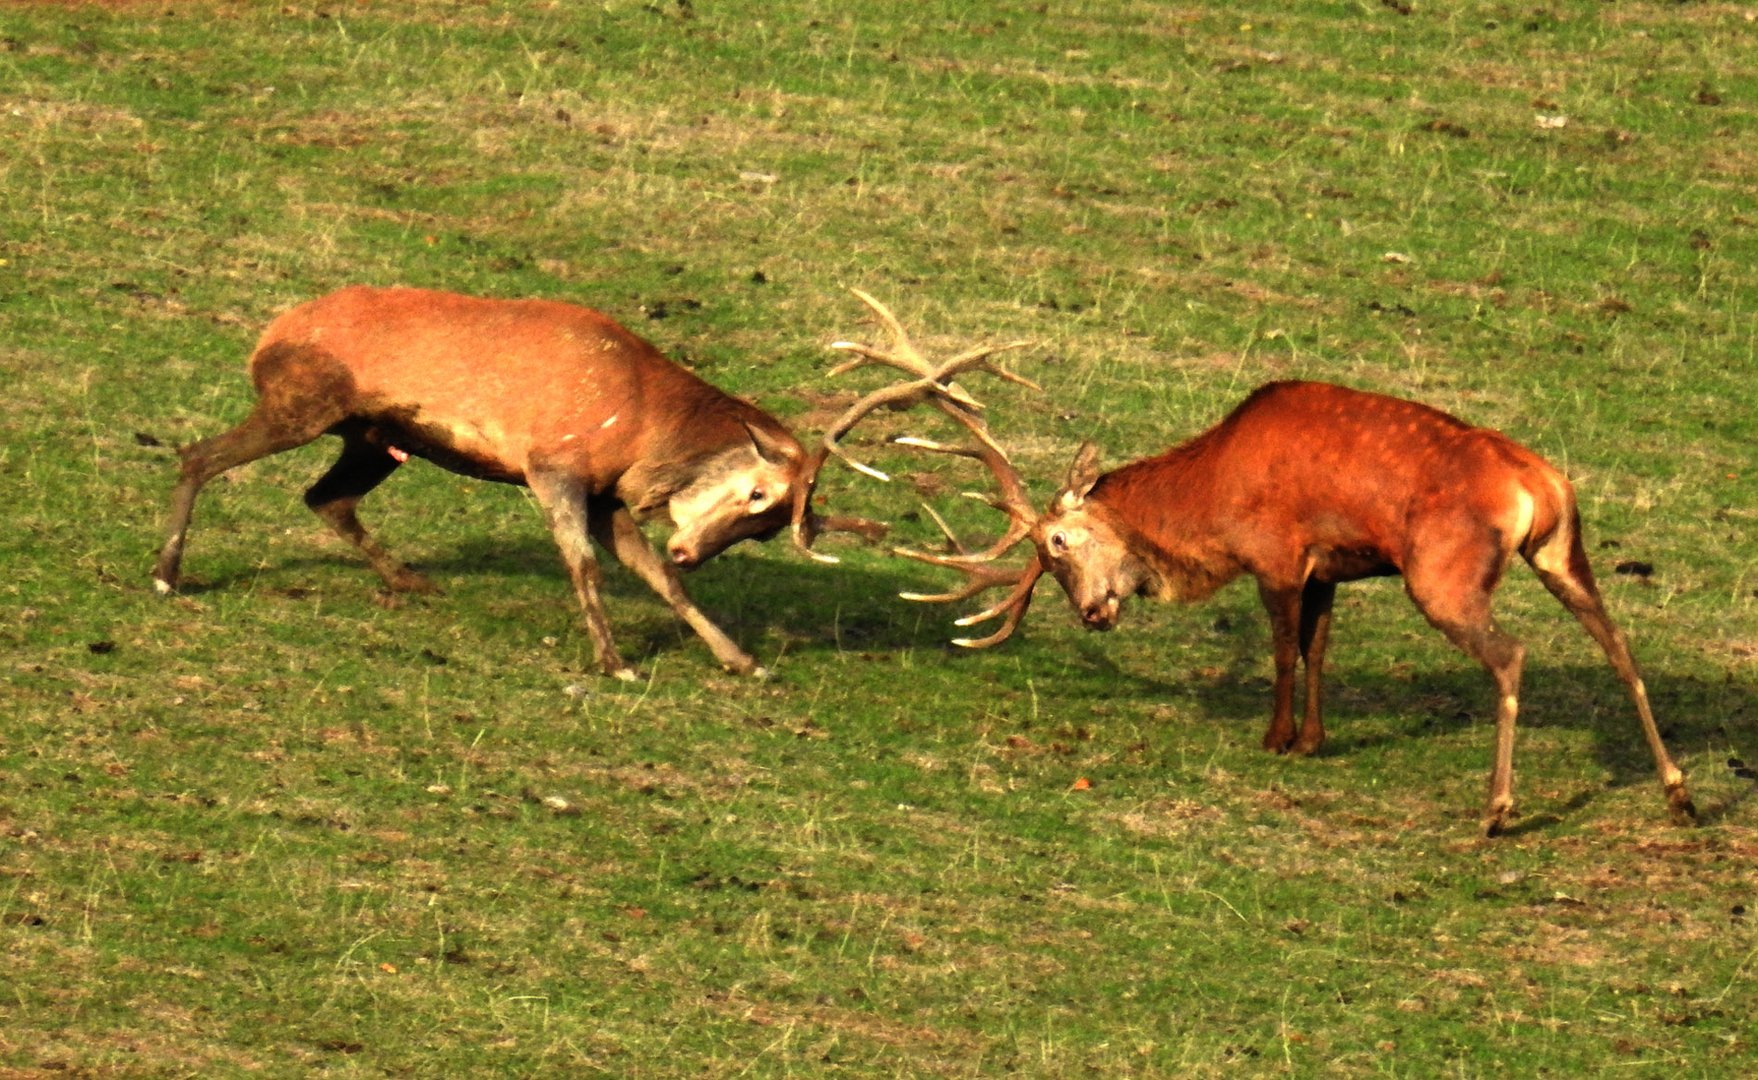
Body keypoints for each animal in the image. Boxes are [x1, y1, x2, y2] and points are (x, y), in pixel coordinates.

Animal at [149, 283, 935, 682]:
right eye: (759, 495)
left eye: (766, 526)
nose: (691, 550)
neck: (641, 425)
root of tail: (267, 336)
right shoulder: (554, 464)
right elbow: (582, 564)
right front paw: (613, 661)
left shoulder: (607, 494)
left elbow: (655, 578)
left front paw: (741, 658)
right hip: (302, 403)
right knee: (198, 455)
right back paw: (166, 573)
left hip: (376, 440)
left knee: (324, 496)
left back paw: (412, 580)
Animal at [843, 295, 1694, 837]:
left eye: (1056, 545)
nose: (1091, 613)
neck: (1213, 498)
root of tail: (1539, 484)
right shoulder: (1330, 567)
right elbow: (1320, 647)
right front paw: (1315, 741)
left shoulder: (1278, 553)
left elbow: (1285, 648)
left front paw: (1277, 738)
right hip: (1561, 552)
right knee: (1618, 644)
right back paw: (1678, 793)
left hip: (1444, 574)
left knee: (1512, 654)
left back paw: (1497, 809)